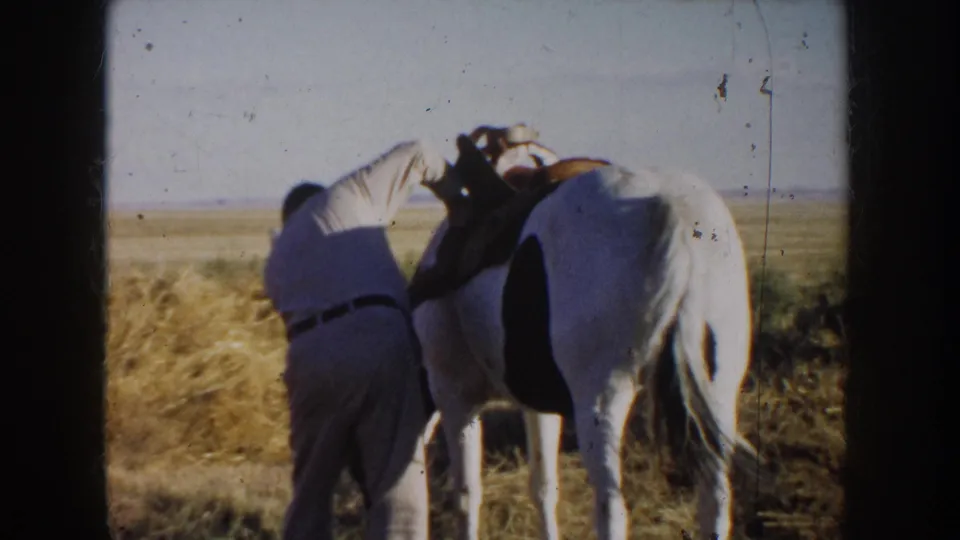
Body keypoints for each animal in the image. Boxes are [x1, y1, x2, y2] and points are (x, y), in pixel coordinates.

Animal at [412, 128, 759, 540]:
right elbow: (544, 487)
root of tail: (682, 216)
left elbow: (467, 494)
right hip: (718, 395)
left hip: (601, 401)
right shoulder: (536, 403)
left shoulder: (455, 395)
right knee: (716, 502)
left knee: (612, 509)